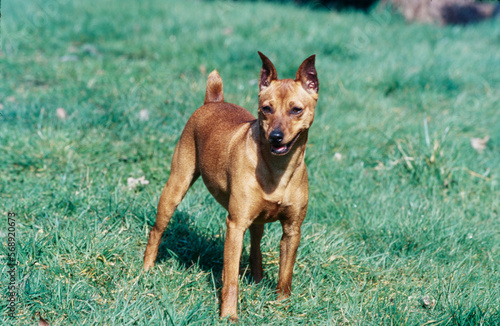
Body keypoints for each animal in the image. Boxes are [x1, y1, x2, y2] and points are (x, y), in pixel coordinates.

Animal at [143, 52, 318, 320]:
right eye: (266, 109)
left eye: (296, 110)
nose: (275, 137)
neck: (278, 168)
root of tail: (213, 100)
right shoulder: (235, 225)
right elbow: (231, 279)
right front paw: (228, 315)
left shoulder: (292, 231)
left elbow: (285, 275)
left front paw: (282, 307)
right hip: (175, 187)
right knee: (156, 231)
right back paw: (145, 270)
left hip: (257, 220)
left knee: (255, 246)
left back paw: (257, 279)